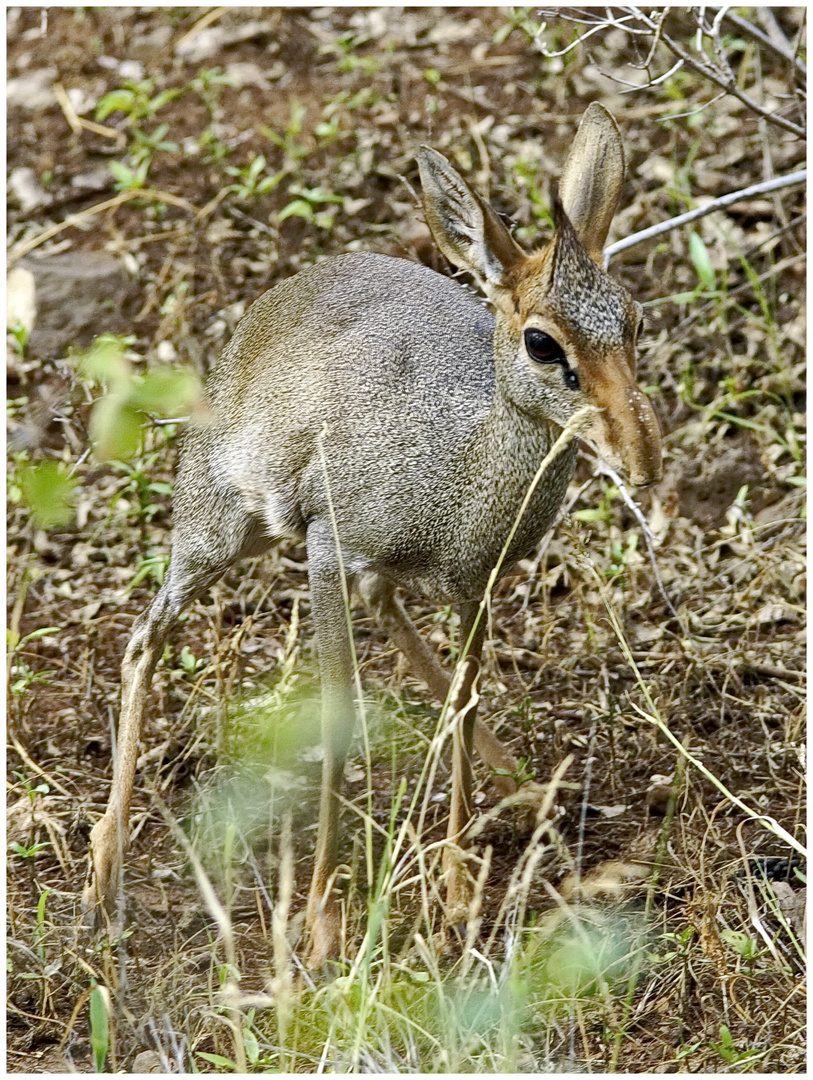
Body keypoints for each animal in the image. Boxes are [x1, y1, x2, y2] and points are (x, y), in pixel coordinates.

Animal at [84, 105, 660, 967]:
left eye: (631, 319)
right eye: (541, 342)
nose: (642, 454)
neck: (462, 466)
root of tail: (271, 305)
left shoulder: (473, 585)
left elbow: (461, 698)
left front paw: (454, 891)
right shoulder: (329, 549)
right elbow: (336, 709)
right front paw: (323, 919)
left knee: (384, 613)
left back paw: (528, 789)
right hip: (219, 534)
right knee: (141, 639)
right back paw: (106, 869)